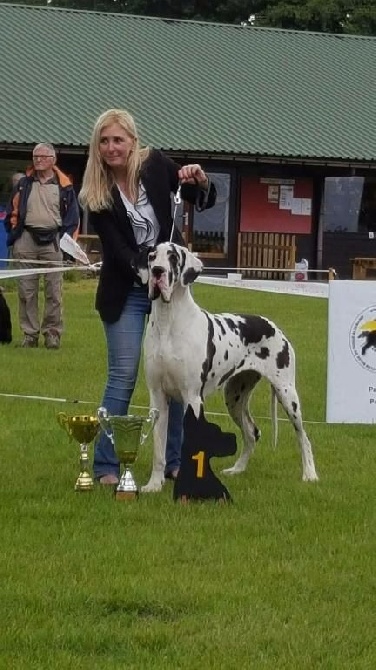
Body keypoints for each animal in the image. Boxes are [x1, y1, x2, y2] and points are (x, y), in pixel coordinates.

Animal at [140, 243, 318, 494]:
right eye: (152, 257)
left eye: (173, 257)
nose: (157, 271)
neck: (168, 322)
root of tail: (273, 325)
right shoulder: (157, 397)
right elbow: (158, 448)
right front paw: (154, 484)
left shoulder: (192, 397)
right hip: (234, 397)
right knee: (252, 433)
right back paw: (237, 469)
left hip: (287, 394)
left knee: (303, 436)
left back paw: (310, 474)